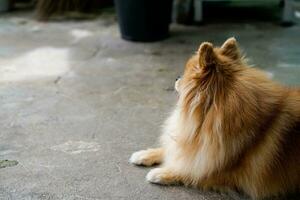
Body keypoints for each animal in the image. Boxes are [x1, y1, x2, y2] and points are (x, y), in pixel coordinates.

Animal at [129, 37, 300, 198]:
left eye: (185, 76)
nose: (176, 78)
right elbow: (173, 149)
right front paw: (144, 154)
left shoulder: (226, 172)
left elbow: (191, 171)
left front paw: (161, 173)